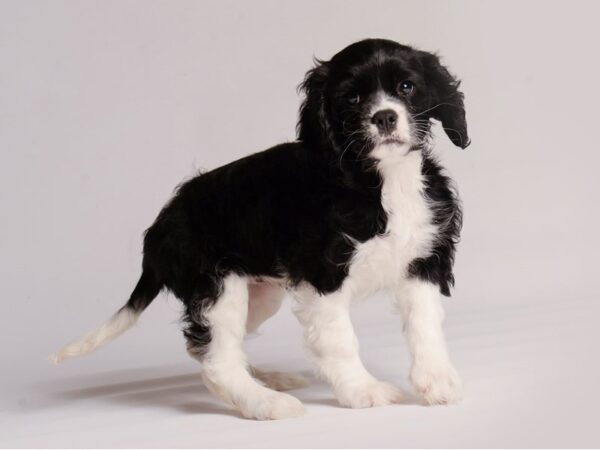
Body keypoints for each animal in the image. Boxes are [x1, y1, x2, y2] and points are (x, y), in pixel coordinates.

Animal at [51, 37, 472, 418]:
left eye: (407, 87)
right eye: (351, 99)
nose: (384, 117)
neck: (384, 180)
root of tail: (158, 231)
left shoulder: (423, 262)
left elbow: (425, 325)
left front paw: (437, 382)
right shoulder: (323, 277)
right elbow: (339, 340)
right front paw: (362, 391)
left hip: (260, 294)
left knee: (205, 347)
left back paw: (268, 380)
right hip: (218, 287)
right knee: (217, 361)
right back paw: (266, 403)